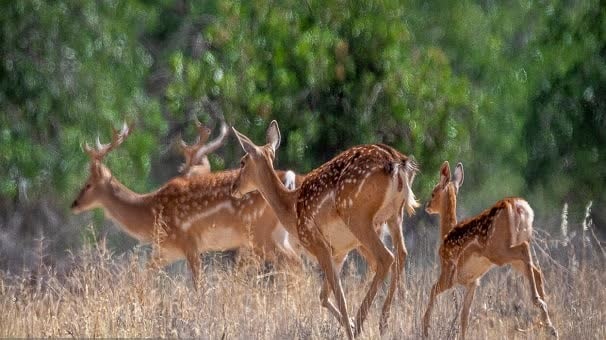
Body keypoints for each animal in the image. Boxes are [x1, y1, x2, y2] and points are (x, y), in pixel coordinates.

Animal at [71, 122, 304, 286]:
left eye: (88, 184)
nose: (74, 204)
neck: (150, 213)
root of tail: (289, 178)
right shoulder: (165, 251)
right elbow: (142, 277)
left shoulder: (188, 241)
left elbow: (198, 284)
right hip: (275, 237)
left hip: (260, 234)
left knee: (293, 264)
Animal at [422, 161, 560, 338]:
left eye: (433, 193)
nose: (427, 206)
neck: (447, 233)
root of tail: (515, 205)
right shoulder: (473, 282)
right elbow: (464, 317)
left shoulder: (449, 272)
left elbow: (433, 290)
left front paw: (425, 329)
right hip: (511, 252)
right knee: (536, 269)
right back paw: (548, 322)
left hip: (497, 250)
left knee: (525, 249)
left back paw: (538, 302)